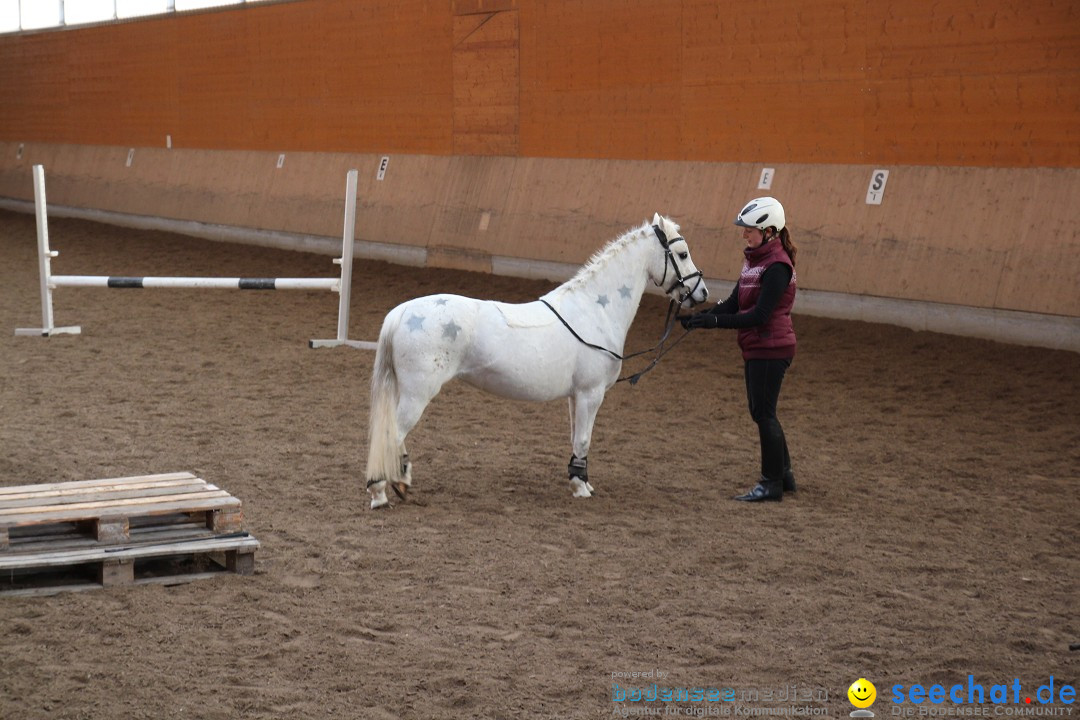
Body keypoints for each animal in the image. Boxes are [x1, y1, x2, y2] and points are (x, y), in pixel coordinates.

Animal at [367, 211, 712, 509]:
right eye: (682, 254)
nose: (702, 293)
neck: (594, 309)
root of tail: (401, 313)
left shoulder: (576, 396)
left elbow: (578, 440)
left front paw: (580, 481)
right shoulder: (591, 393)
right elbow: (583, 440)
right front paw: (581, 488)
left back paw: (397, 482)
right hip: (417, 394)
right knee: (391, 436)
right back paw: (383, 491)